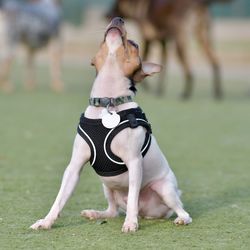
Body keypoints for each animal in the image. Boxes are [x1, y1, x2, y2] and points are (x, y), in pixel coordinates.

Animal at [30, 17, 192, 232]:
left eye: (135, 44)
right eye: (102, 41)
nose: (118, 18)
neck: (108, 101)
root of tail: (148, 213)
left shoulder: (134, 162)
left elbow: (132, 198)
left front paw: (130, 223)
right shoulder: (74, 167)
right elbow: (59, 199)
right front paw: (46, 221)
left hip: (164, 189)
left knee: (180, 210)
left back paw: (176, 218)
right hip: (107, 186)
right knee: (113, 210)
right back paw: (95, 213)